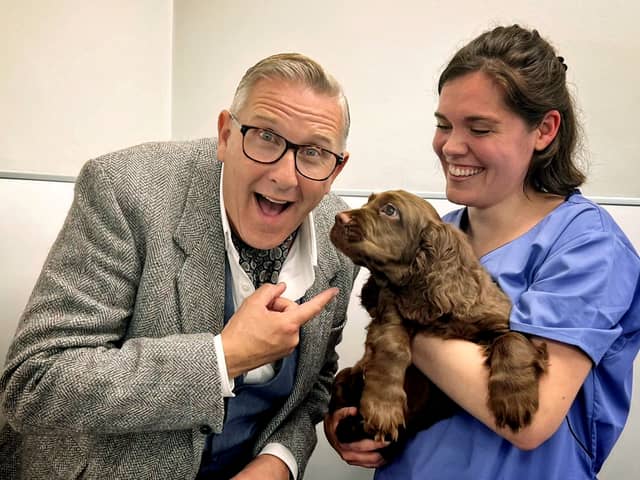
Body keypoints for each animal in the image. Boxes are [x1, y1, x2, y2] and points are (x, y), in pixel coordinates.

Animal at [328, 189, 548, 448]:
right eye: (369, 201)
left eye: (390, 210)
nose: (338, 218)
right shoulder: (389, 313)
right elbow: (393, 348)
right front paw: (383, 408)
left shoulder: (497, 321)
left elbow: (513, 340)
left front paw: (514, 400)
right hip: (344, 377)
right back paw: (349, 426)